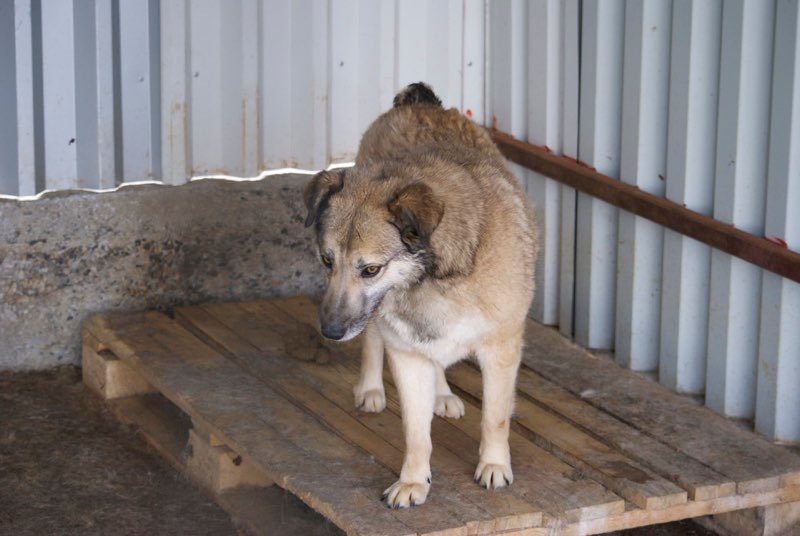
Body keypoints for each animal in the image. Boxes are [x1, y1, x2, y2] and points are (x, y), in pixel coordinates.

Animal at [304, 81, 536, 508]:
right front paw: (413, 481)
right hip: (379, 326)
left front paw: (494, 465)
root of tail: (418, 101)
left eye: (371, 269)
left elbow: (494, 417)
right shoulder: (406, 356)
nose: (330, 332)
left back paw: (442, 394)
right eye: (327, 261)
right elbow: (415, 433)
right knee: (374, 342)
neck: (430, 280)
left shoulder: (500, 350)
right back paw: (371, 388)